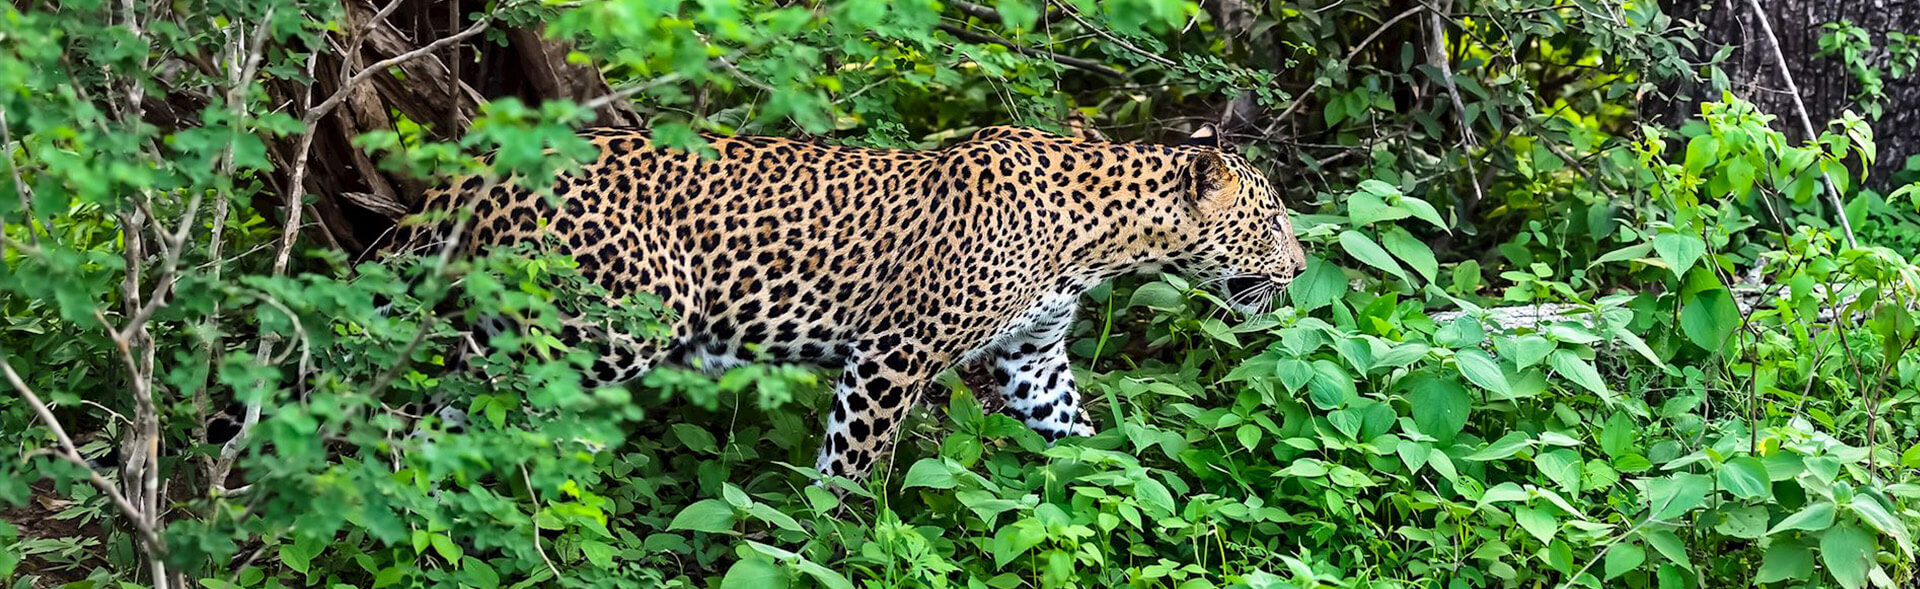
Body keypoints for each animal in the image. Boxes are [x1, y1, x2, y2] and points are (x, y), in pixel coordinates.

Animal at [383, 124, 1307, 480]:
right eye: (1271, 221)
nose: (1301, 269)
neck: (1101, 238)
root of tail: (481, 166)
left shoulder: (1034, 356)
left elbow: (1079, 441)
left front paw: (1122, 494)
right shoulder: (895, 352)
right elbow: (853, 464)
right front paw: (830, 535)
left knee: (428, 415)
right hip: (602, 328)